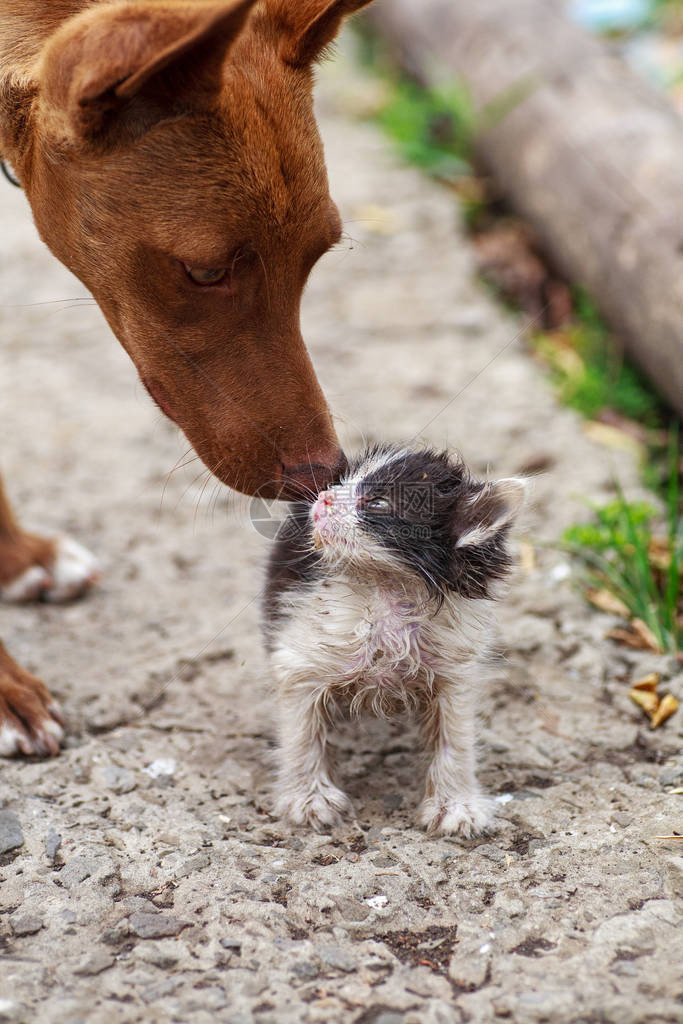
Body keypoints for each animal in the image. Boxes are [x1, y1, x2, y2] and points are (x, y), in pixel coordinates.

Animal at [262, 444, 528, 835]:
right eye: (343, 482)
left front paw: (455, 806)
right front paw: (308, 800)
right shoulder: (302, 656)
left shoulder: (455, 670)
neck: (387, 588)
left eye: (377, 503)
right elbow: (301, 733)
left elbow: (456, 737)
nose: (323, 497)